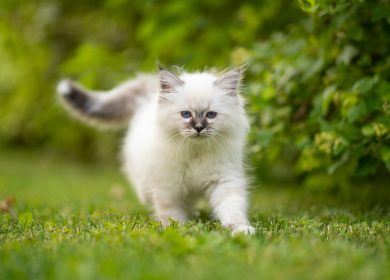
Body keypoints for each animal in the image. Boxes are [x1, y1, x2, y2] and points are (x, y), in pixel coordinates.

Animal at [56, 65, 254, 234]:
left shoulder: (224, 180)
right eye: (186, 114)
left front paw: (240, 229)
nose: (198, 128)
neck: (195, 151)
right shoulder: (168, 186)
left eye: (211, 115)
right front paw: (177, 230)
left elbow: (232, 208)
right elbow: (171, 214)